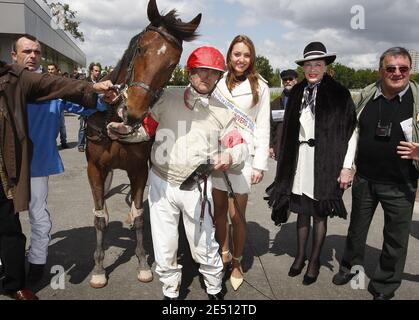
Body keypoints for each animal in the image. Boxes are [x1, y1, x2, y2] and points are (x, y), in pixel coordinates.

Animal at [85, 0, 202, 288]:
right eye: (140, 49)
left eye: (173, 63)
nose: (134, 111)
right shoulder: (95, 168)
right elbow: (99, 218)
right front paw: (98, 268)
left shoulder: (138, 169)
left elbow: (139, 215)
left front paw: (142, 263)